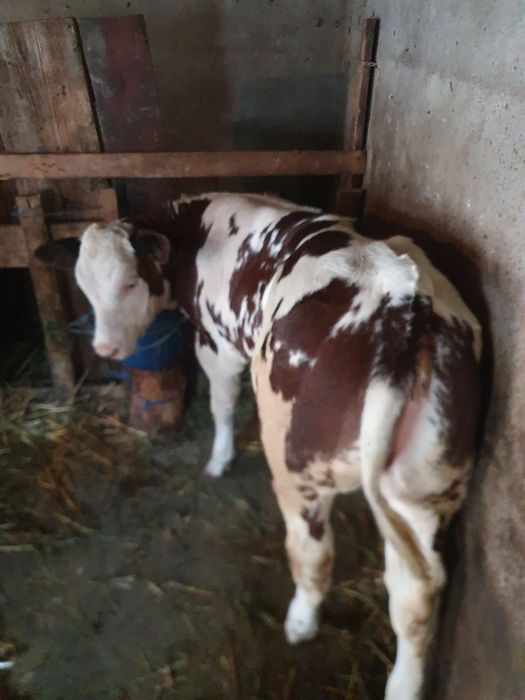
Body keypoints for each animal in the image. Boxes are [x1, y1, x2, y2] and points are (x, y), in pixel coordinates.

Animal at [35, 193, 481, 700]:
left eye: (131, 282)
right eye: (84, 287)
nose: (105, 350)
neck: (196, 231)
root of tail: (402, 306)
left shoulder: (217, 344)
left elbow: (222, 403)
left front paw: (218, 459)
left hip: (298, 466)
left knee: (314, 554)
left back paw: (299, 623)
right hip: (430, 485)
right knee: (415, 595)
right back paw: (402, 685)